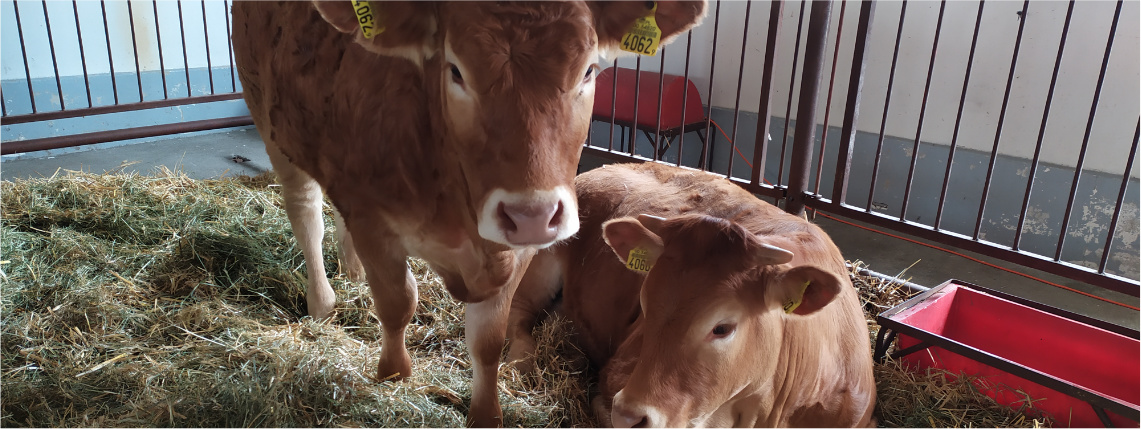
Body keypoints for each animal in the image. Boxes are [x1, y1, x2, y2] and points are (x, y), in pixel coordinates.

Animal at [231, 1, 702, 426]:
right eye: (455, 70)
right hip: (271, 121)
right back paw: (323, 302)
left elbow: (488, 340)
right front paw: (392, 376)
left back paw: (351, 271)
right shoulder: (373, 220)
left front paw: (486, 414)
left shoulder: (515, 252)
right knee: (306, 213)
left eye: (588, 71)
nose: (532, 215)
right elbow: (398, 304)